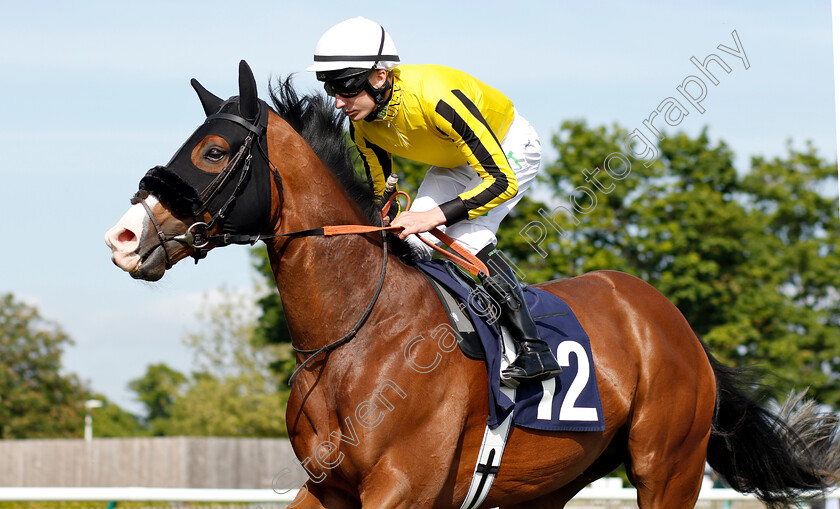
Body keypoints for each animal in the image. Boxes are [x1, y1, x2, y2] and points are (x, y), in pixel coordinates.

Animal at [106, 61, 840, 506]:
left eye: (213, 152)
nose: (124, 237)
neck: (356, 331)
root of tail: (673, 321)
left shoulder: (402, 486)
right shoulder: (328, 486)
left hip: (670, 467)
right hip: (551, 481)